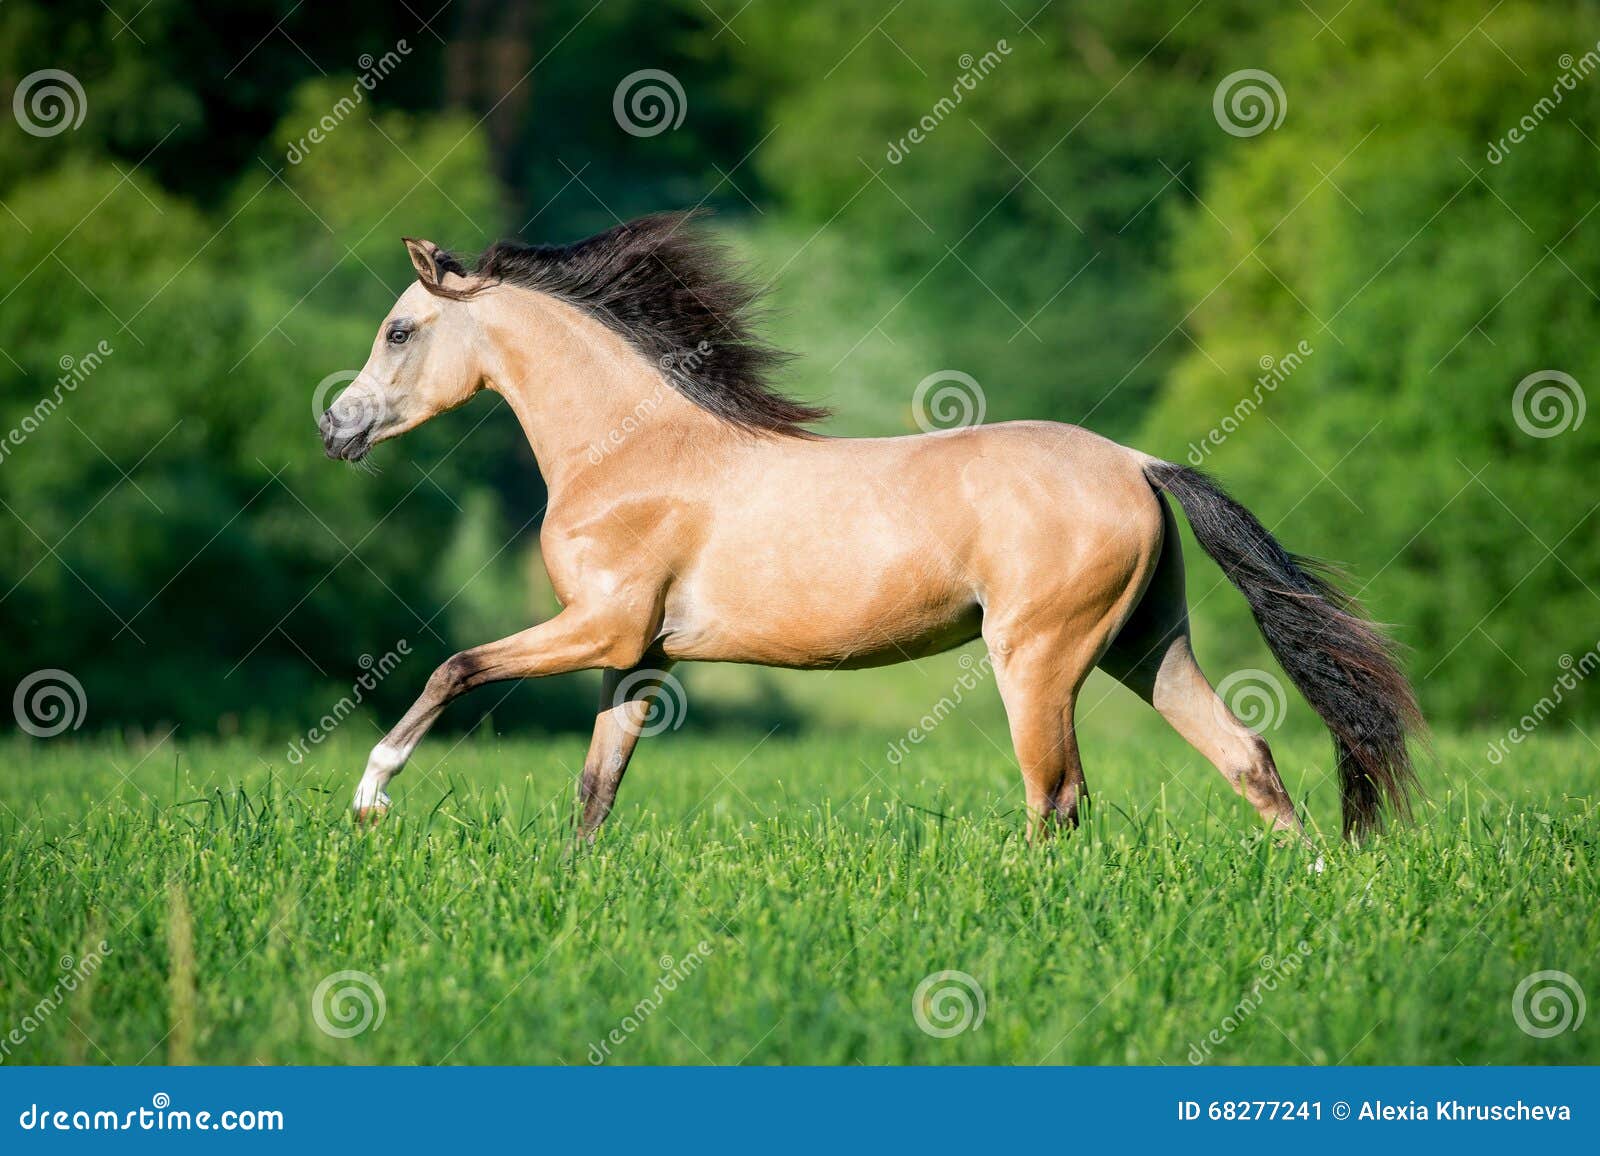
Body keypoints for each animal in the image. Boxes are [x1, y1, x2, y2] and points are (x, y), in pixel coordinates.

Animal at [318, 212, 1422, 844]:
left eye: (399, 329)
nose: (336, 427)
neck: (631, 452)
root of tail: (1135, 462)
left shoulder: (599, 627)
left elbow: (453, 668)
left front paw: (372, 798)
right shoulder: (638, 658)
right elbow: (596, 789)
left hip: (1039, 658)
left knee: (1057, 795)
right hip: (1144, 646)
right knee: (1246, 757)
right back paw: (1312, 887)